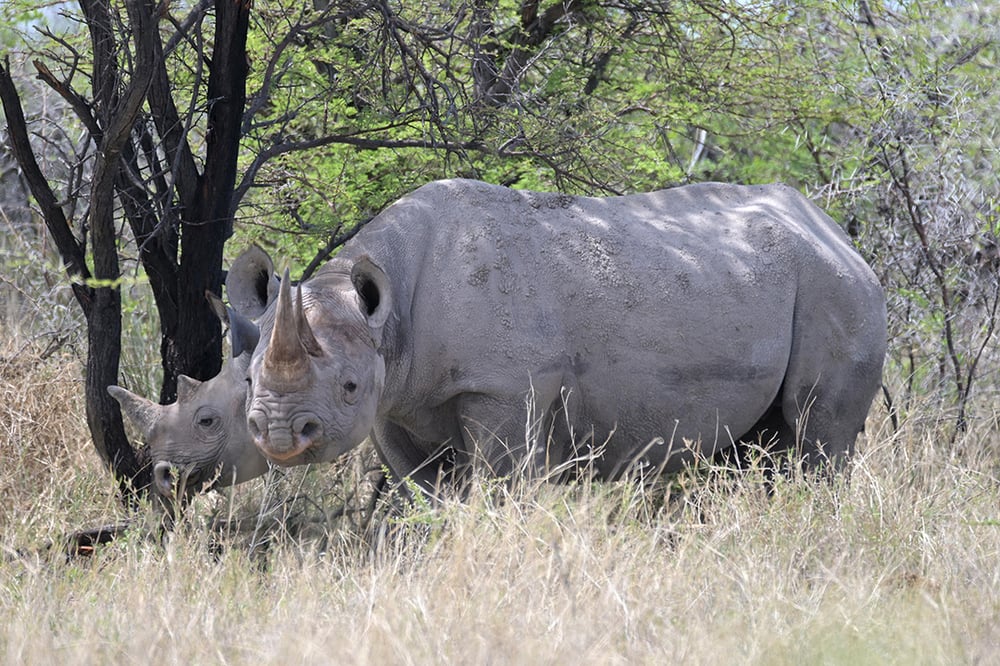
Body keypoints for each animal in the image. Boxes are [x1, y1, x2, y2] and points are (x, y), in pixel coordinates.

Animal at [231, 179, 886, 492]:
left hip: (838, 288)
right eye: (248, 379)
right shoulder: (397, 399)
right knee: (763, 444)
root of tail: (835, 231)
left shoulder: (501, 388)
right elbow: (427, 492)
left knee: (817, 434)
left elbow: (497, 486)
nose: (280, 435)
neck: (387, 321)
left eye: (347, 386)